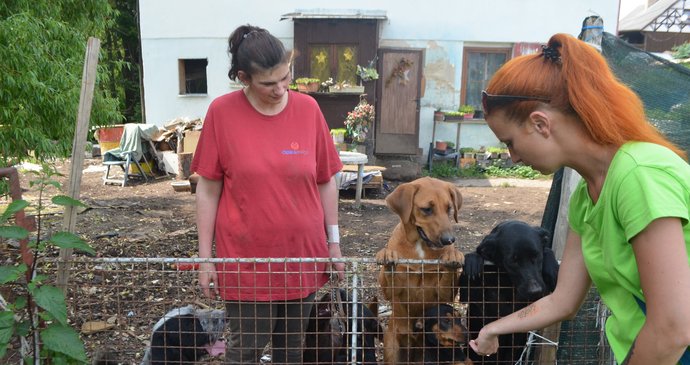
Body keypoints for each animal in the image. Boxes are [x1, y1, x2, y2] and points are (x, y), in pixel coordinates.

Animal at [374, 176, 464, 362]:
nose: (449, 240)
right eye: (427, 209)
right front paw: (387, 254)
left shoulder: (444, 293)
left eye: (449, 208)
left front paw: (452, 255)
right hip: (393, 350)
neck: (420, 247)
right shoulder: (393, 291)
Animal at [456, 220, 560, 362]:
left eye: (536, 256)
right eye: (513, 261)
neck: (507, 281)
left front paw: (552, 267)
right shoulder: (469, 296)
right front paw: (473, 259)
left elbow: (547, 251)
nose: (535, 291)